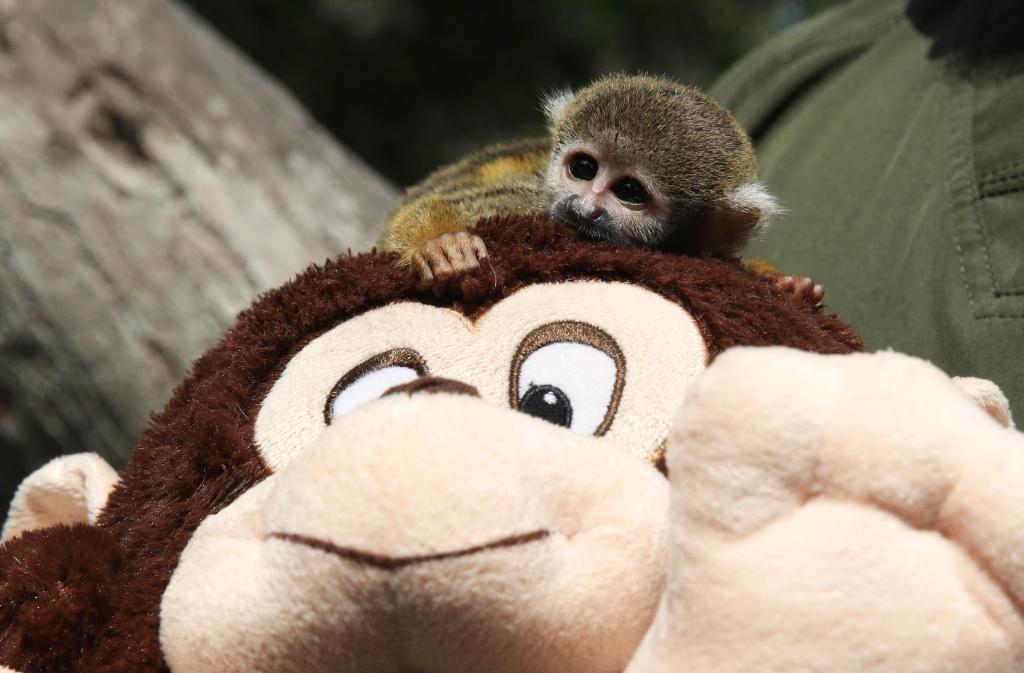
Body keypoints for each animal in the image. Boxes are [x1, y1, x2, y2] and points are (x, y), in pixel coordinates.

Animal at [381, 74, 823, 303]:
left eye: (630, 192)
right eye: (583, 168)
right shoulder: (532, 204)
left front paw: (785, 284)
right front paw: (440, 242)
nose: (584, 208)